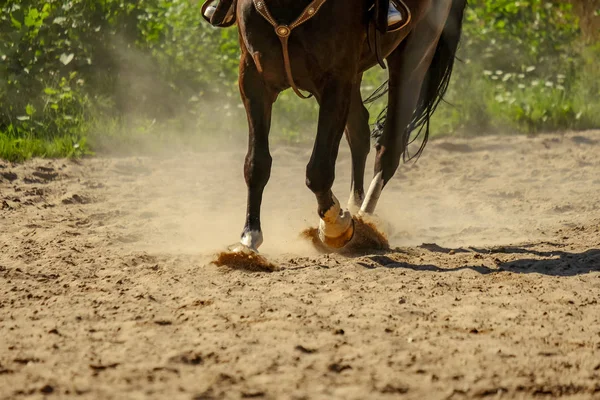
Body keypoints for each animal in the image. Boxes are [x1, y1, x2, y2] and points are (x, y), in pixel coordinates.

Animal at [223, 0, 466, 253]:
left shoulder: (336, 81)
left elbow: (319, 169)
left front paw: (335, 226)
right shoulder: (252, 78)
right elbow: (256, 163)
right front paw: (249, 238)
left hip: (416, 51)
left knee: (389, 149)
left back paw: (365, 221)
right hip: (356, 75)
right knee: (359, 132)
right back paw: (356, 206)